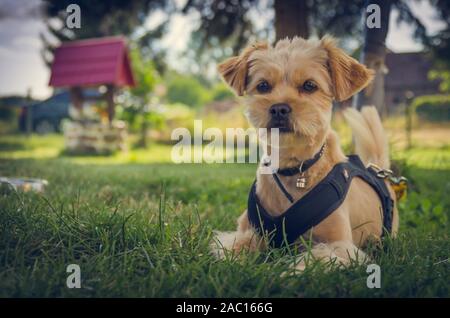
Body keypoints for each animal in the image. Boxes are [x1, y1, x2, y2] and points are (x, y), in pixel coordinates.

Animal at [213, 35, 400, 270]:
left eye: (309, 85)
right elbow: (233, 248)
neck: (295, 169)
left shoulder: (339, 246)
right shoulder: (248, 232)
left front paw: (289, 272)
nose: (279, 108)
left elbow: (314, 259)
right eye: (263, 85)